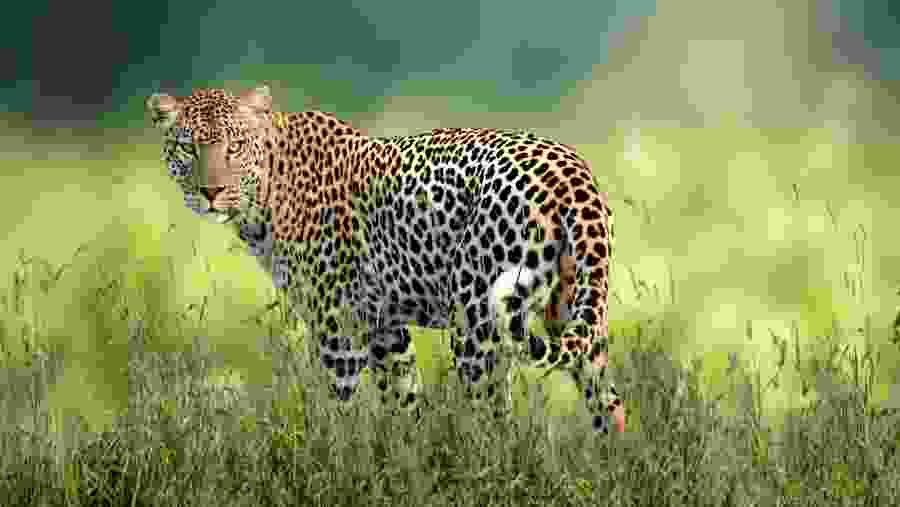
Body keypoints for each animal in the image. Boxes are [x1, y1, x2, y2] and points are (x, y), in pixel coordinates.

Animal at [145, 83, 624, 434]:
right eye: (187, 148)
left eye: (235, 146)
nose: (211, 191)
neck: (264, 194)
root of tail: (571, 171)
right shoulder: (383, 328)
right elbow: (403, 402)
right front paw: (402, 462)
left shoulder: (338, 326)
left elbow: (343, 409)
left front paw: (339, 461)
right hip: (574, 312)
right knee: (609, 403)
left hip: (477, 323)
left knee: (496, 420)